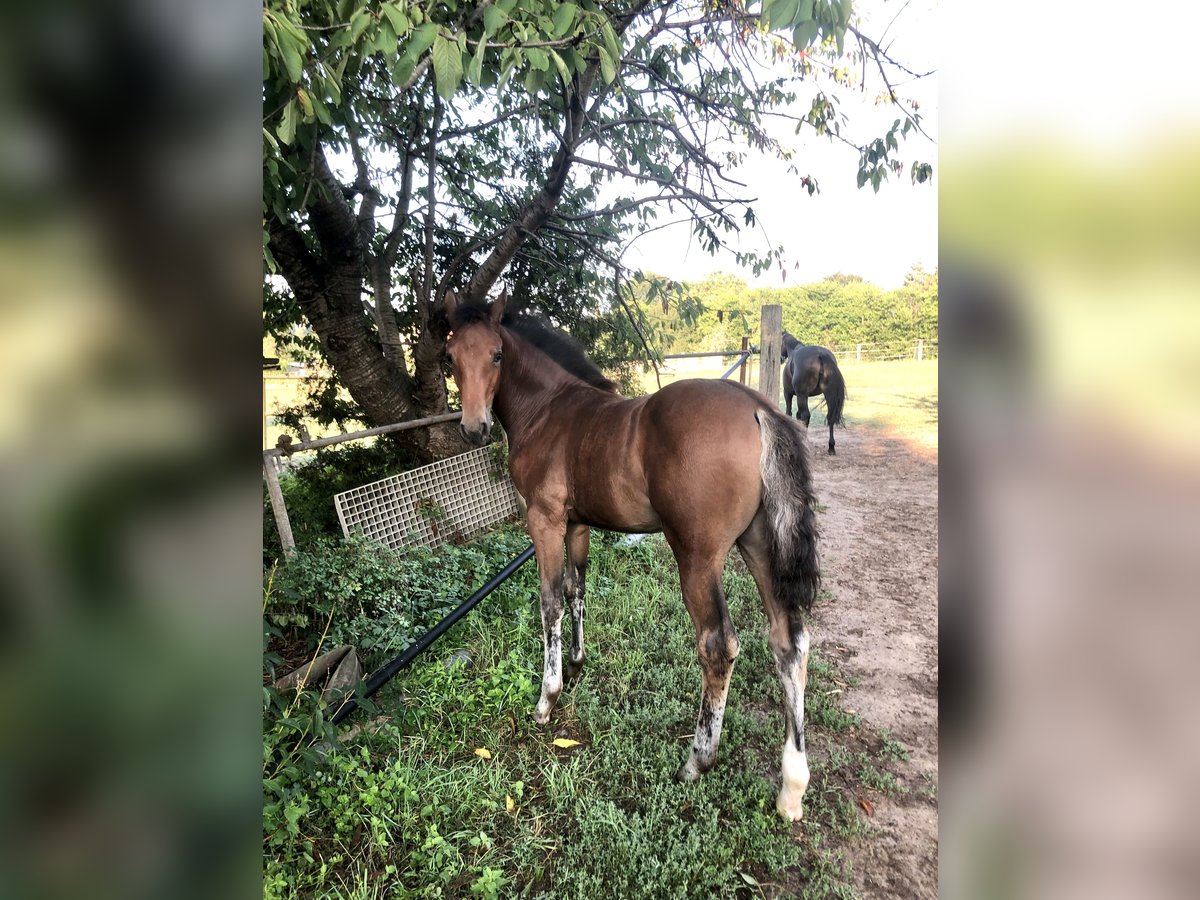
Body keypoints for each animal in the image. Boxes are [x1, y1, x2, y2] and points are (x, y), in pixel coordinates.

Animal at [444, 290, 825, 825]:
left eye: (497, 355)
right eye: (450, 358)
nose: (474, 429)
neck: (548, 411)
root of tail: (756, 406)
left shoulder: (544, 520)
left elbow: (549, 600)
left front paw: (547, 699)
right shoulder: (578, 523)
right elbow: (577, 587)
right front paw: (577, 662)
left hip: (697, 555)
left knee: (718, 645)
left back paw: (696, 760)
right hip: (760, 543)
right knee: (788, 641)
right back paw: (791, 789)